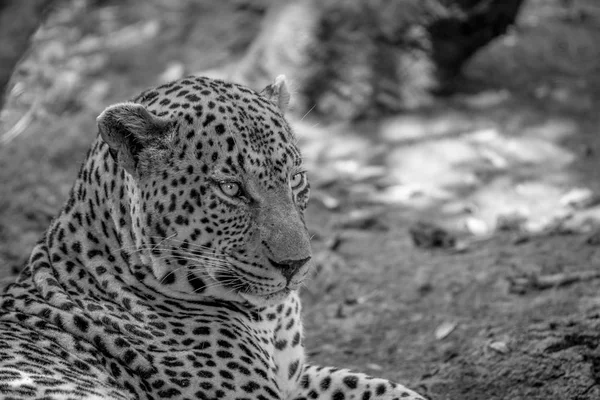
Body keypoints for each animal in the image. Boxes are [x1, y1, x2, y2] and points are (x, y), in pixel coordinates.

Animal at [0, 73, 426, 398]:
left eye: (296, 178)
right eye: (231, 189)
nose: (296, 264)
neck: (271, 319)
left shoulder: (294, 379)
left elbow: (369, 382)